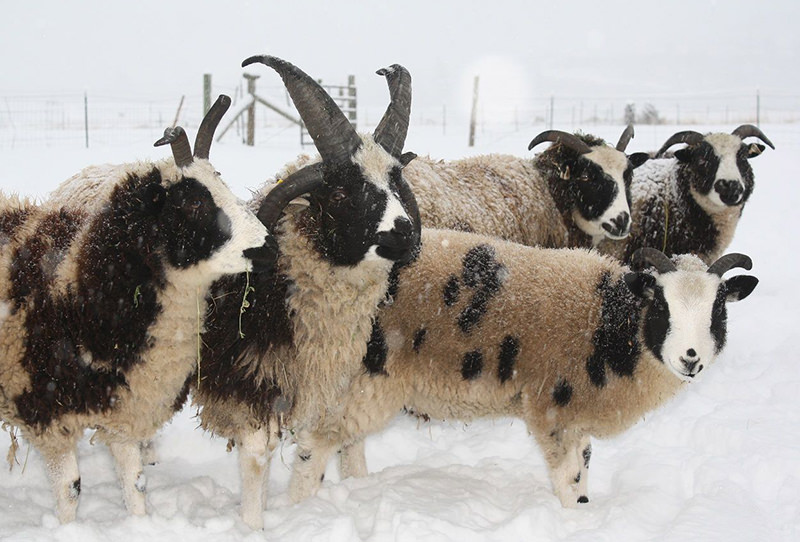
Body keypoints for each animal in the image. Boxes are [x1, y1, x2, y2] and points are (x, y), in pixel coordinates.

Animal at [0, 95, 280, 523]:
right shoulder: (46, 413)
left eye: (223, 181)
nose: (267, 247)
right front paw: (67, 529)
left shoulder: (125, 410)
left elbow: (135, 483)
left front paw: (139, 522)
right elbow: (69, 490)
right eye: (193, 201)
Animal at [189, 56, 422, 529]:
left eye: (395, 182)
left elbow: (314, 448)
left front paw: (300, 509)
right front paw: (253, 525)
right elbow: (256, 457)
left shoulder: (330, 378)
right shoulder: (248, 377)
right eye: (342, 190)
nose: (404, 234)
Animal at [286, 230, 758, 509]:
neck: (611, 328)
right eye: (661, 304)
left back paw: (358, 489)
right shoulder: (553, 408)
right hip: (361, 373)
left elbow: (584, 469)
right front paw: (572, 520)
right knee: (316, 444)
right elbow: (569, 478)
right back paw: (302, 505)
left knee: (348, 442)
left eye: (718, 308)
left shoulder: (577, 414)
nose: (691, 357)